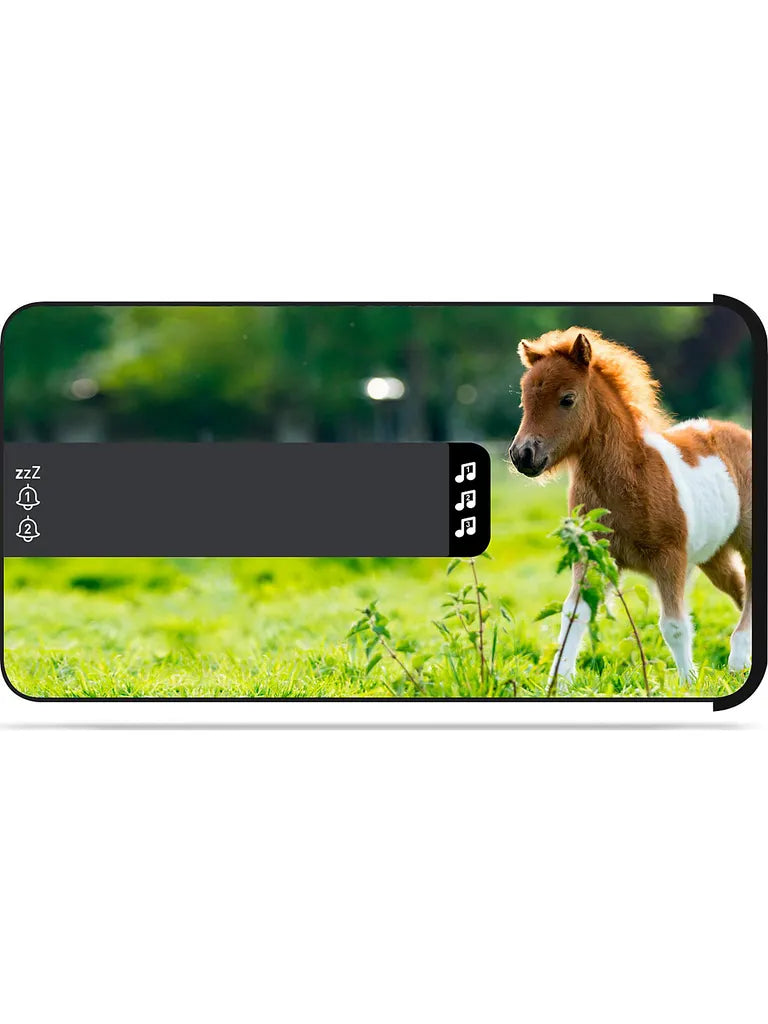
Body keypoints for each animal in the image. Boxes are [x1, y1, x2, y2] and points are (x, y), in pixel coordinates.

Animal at [508, 326, 752, 691]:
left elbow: (674, 626)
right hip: (714, 555)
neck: (632, 476)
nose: (523, 455)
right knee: (739, 588)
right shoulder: (593, 555)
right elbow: (573, 615)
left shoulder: (670, 558)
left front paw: (687, 683)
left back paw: (736, 659)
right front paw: (558, 684)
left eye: (567, 399)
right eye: (525, 400)